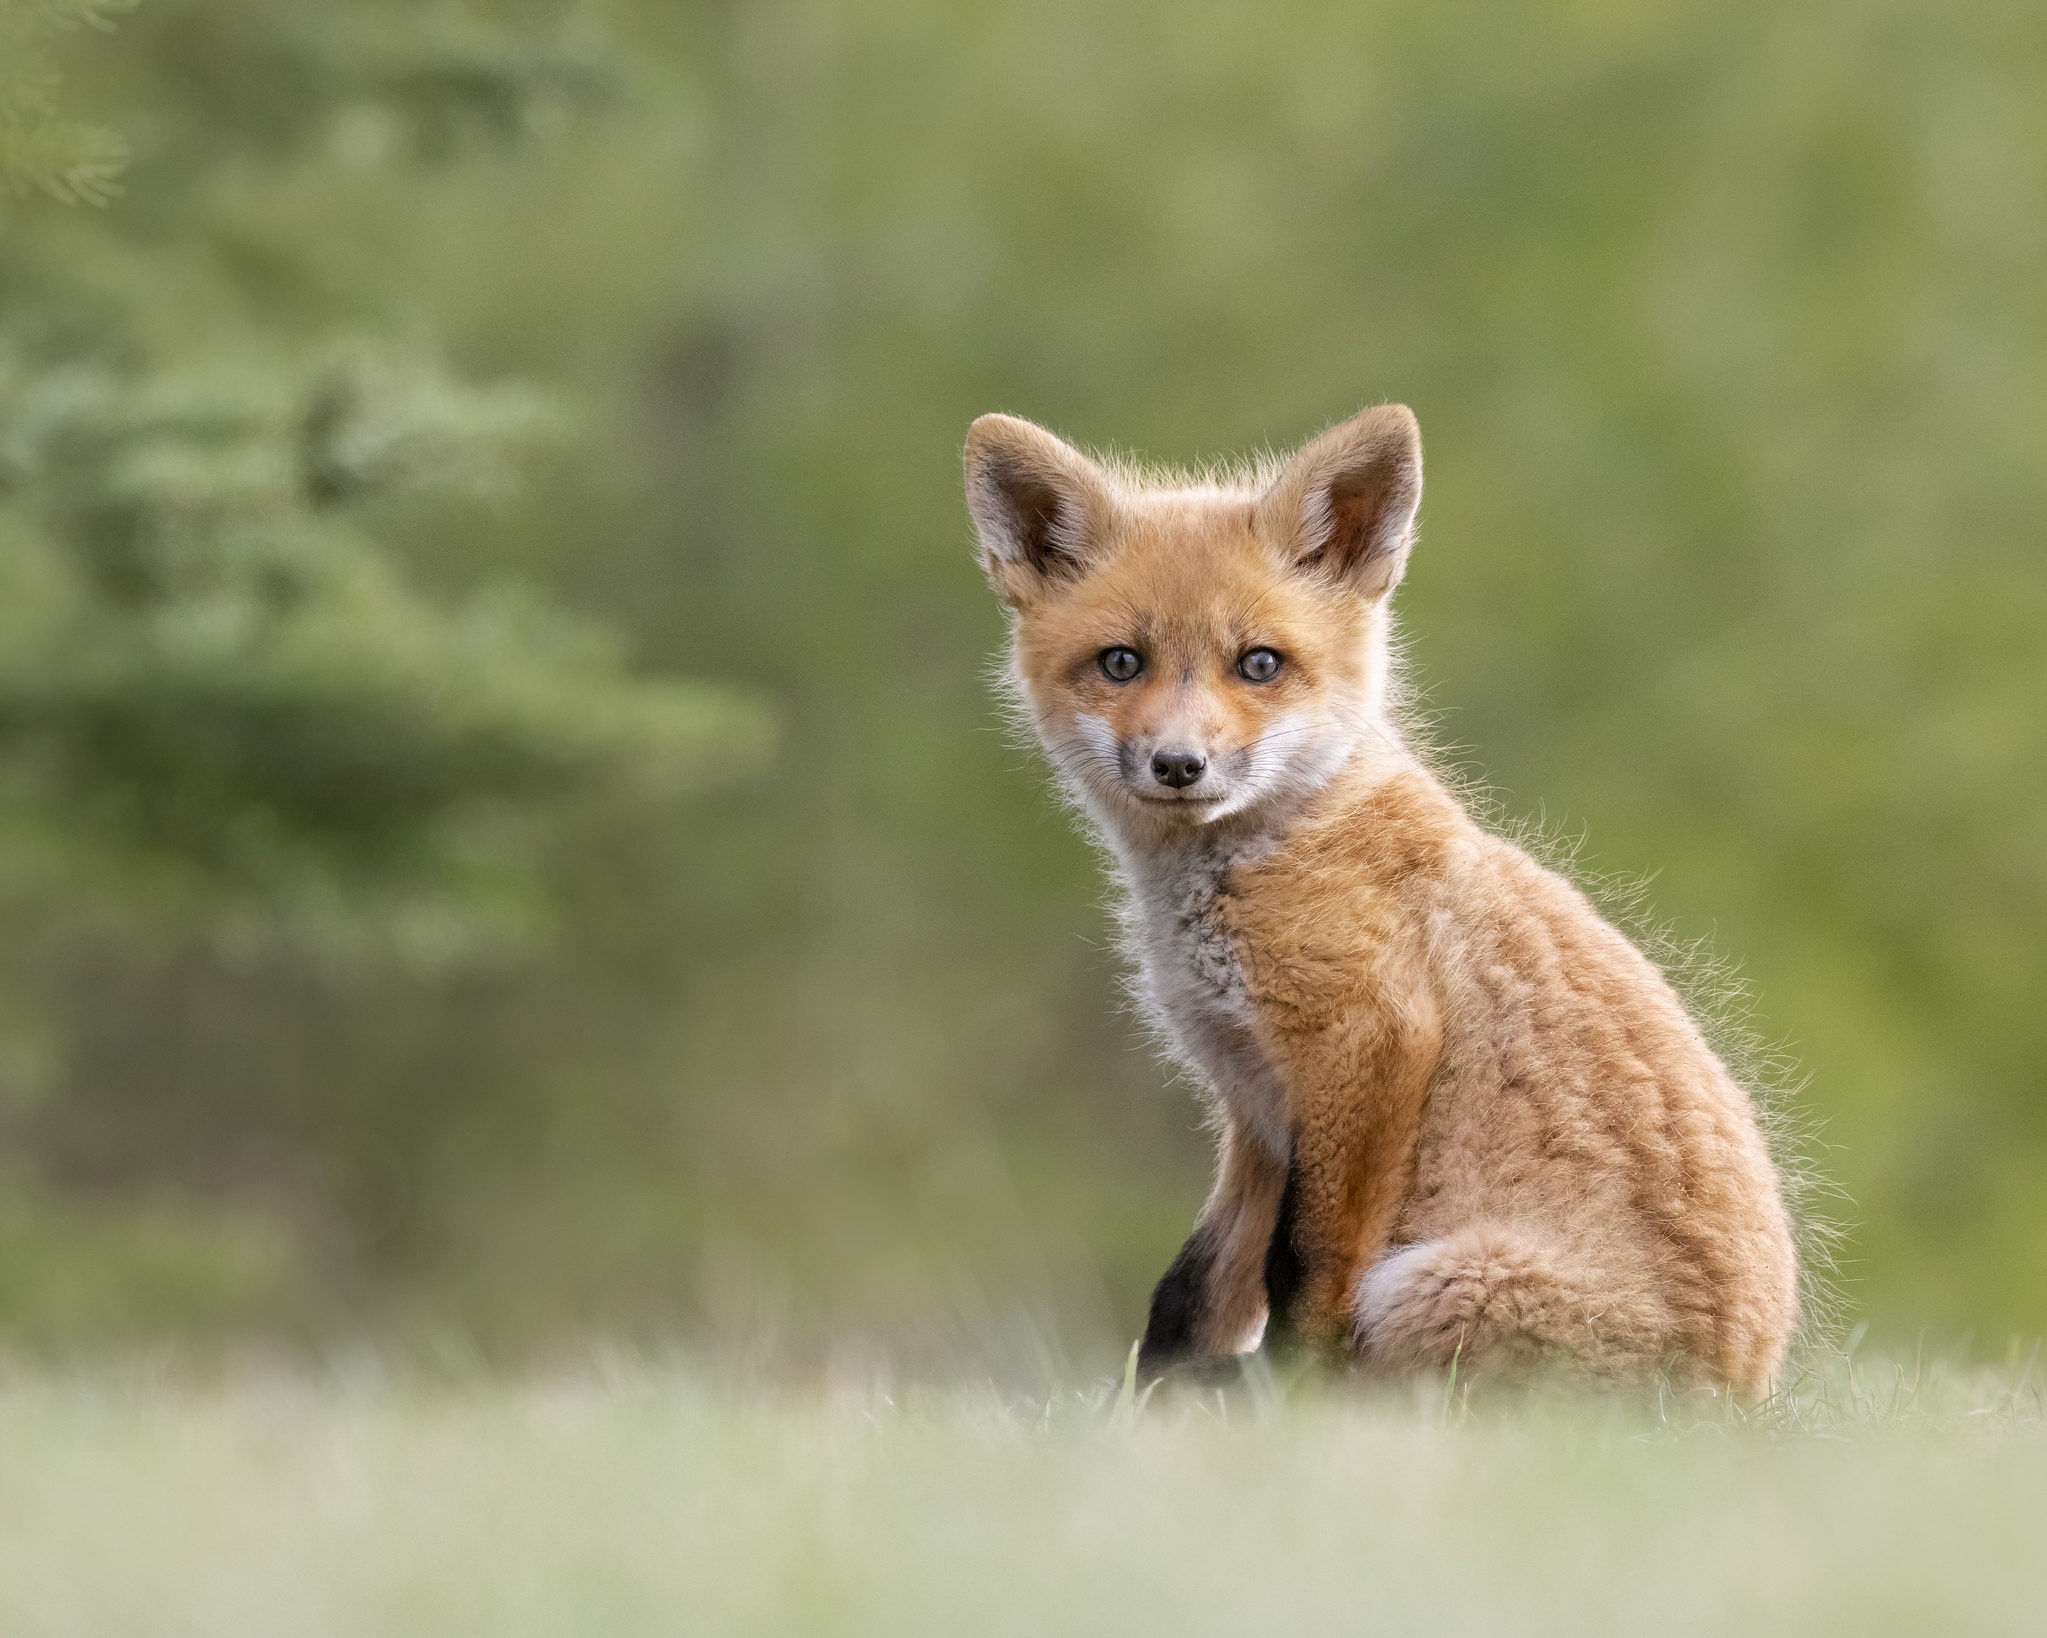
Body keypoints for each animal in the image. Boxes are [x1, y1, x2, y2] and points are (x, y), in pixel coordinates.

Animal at [957, 403, 1793, 1392]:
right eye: (1121, 663)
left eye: (1259, 664)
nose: (1178, 765)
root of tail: (1742, 1391)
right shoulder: (1257, 1103)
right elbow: (1197, 1287)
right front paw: (1148, 1403)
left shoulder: (1366, 1038)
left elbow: (1305, 1268)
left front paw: (1292, 1400)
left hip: (1431, 1284)